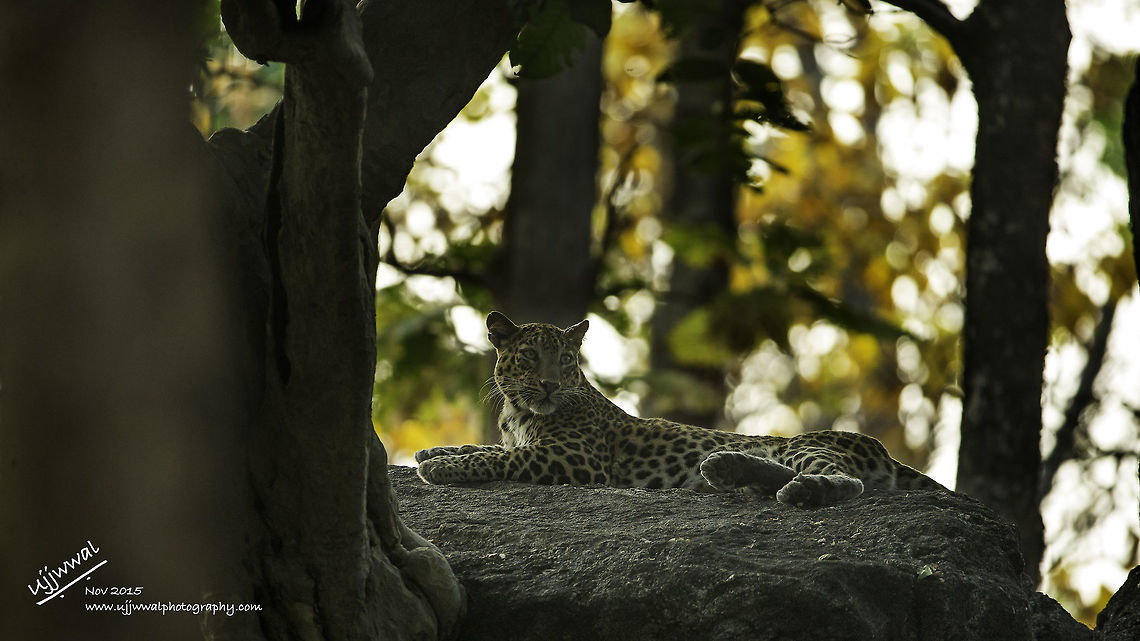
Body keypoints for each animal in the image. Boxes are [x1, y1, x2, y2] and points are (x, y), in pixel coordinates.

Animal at [415, 311, 946, 506]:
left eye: (565, 360)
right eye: (528, 357)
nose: (548, 384)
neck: (518, 410)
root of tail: (884, 450)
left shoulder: (574, 458)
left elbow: (503, 457)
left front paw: (443, 468)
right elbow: (488, 446)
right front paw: (433, 452)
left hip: (804, 443)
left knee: (845, 480)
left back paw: (802, 490)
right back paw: (726, 468)